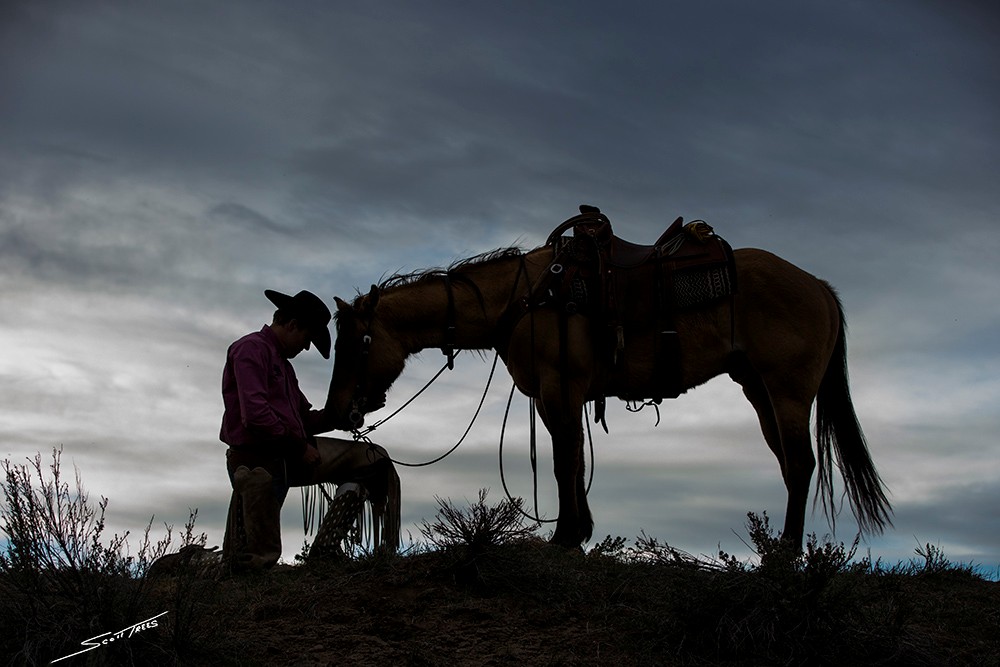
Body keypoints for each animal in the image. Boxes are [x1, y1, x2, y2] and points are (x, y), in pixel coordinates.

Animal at [324, 211, 896, 552]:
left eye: (356, 343)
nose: (338, 411)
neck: (525, 297)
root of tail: (818, 286)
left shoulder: (561, 387)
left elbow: (564, 462)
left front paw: (564, 539)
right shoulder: (559, 396)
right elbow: (573, 458)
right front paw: (580, 532)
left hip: (788, 390)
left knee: (799, 463)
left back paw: (786, 555)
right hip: (759, 390)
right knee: (789, 463)